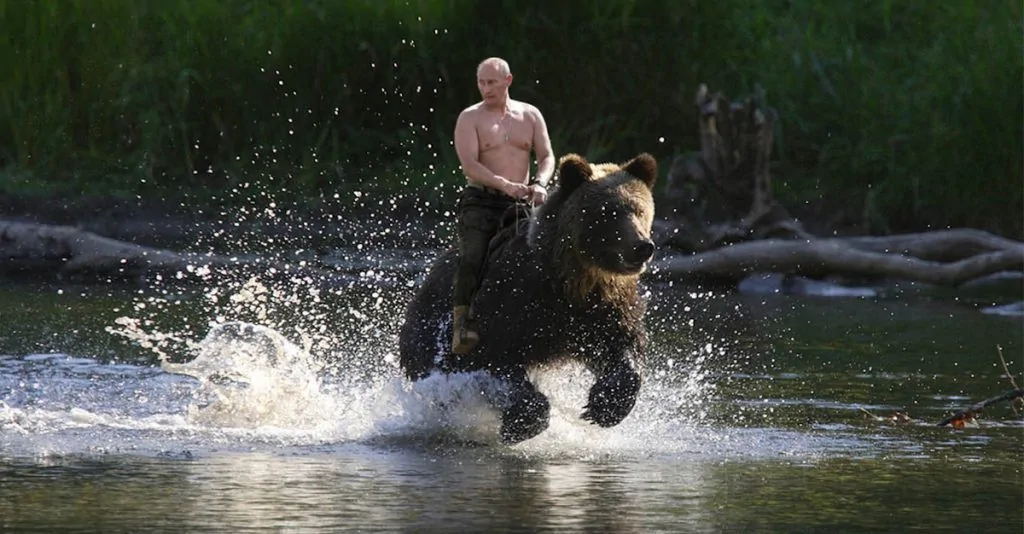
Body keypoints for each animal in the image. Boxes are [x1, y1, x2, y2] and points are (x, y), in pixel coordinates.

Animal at [397, 152, 658, 444]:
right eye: (608, 212)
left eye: (640, 210)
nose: (642, 246)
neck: (572, 279)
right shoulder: (514, 300)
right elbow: (495, 357)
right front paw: (521, 424)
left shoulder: (602, 308)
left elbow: (621, 346)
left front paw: (604, 406)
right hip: (432, 327)